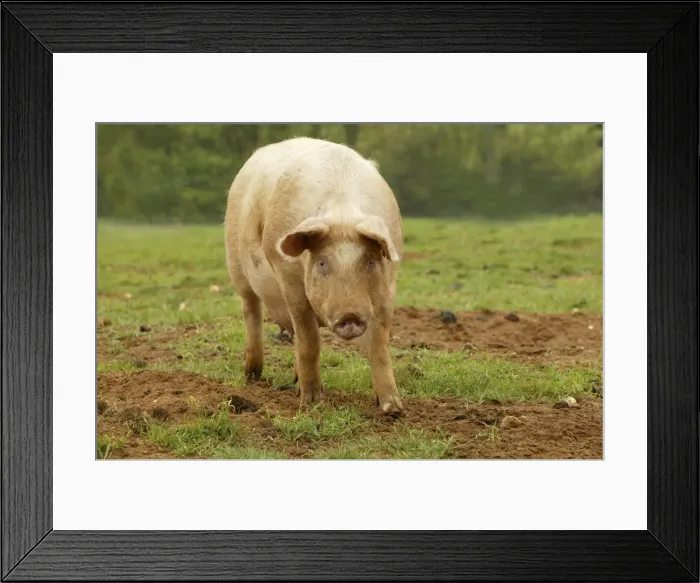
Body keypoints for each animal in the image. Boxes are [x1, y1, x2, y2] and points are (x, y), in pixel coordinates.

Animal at [224, 137, 404, 415]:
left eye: (371, 261)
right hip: (236, 264)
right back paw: (253, 375)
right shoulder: (290, 282)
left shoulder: (388, 289)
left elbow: (379, 344)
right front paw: (312, 404)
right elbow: (310, 340)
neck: (342, 209)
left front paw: (392, 408)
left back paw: (294, 381)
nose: (350, 315)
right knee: (251, 311)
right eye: (322, 263)